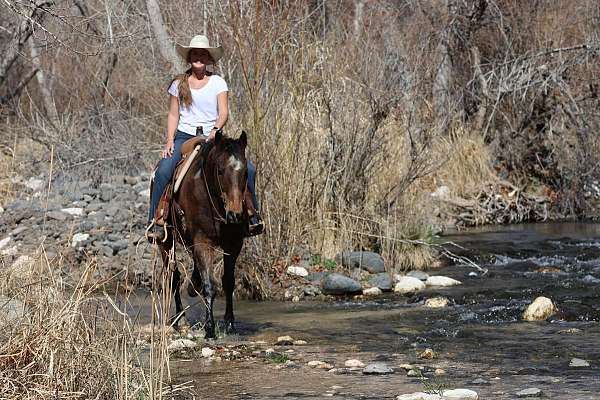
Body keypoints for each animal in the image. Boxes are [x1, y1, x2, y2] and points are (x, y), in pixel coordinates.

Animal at [158, 129, 250, 338]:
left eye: (245, 172)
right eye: (220, 170)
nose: (235, 214)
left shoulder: (234, 244)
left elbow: (228, 282)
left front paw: (230, 324)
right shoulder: (202, 242)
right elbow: (209, 286)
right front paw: (209, 328)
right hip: (166, 244)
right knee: (174, 277)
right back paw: (179, 319)